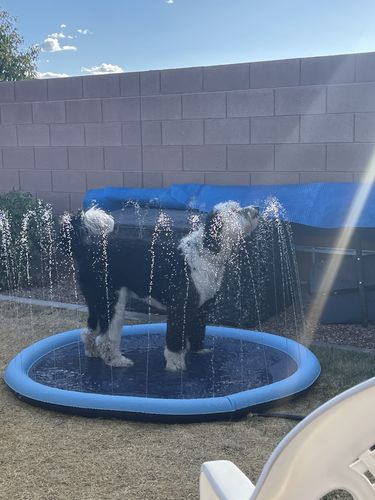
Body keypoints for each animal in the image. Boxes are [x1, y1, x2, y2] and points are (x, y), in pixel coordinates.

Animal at [65, 202, 258, 372]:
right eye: (234, 211)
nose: (257, 208)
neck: (204, 253)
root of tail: (86, 250)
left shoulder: (201, 309)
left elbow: (198, 331)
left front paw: (198, 350)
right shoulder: (179, 309)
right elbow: (175, 342)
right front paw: (175, 365)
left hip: (96, 302)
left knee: (89, 332)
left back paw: (93, 353)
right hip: (112, 303)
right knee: (105, 338)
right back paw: (117, 361)